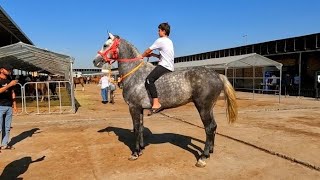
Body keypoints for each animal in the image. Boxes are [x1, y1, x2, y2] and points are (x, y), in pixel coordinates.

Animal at [92, 32, 238, 167]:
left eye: (105, 45)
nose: (95, 61)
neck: (134, 73)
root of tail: (218, 75)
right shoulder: (139, 109)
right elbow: (140, 128)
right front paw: (141, 149)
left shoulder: (133, 107)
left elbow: (136, 128)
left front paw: (135, 153)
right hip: (209, 108)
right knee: (213, 126)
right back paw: (210, 151)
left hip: (203, 107)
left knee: (209, 128)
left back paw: (203, 157)